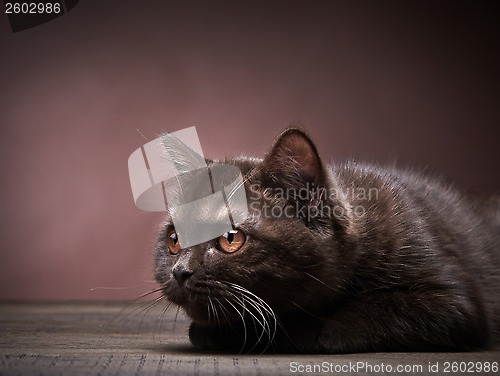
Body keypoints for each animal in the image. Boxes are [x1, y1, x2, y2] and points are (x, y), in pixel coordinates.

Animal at [154, 128, 498, 354]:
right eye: (174, 239)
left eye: (231, 239)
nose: (180, 271)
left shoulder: (453, 303)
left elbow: (373, 308)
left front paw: (296, 331)